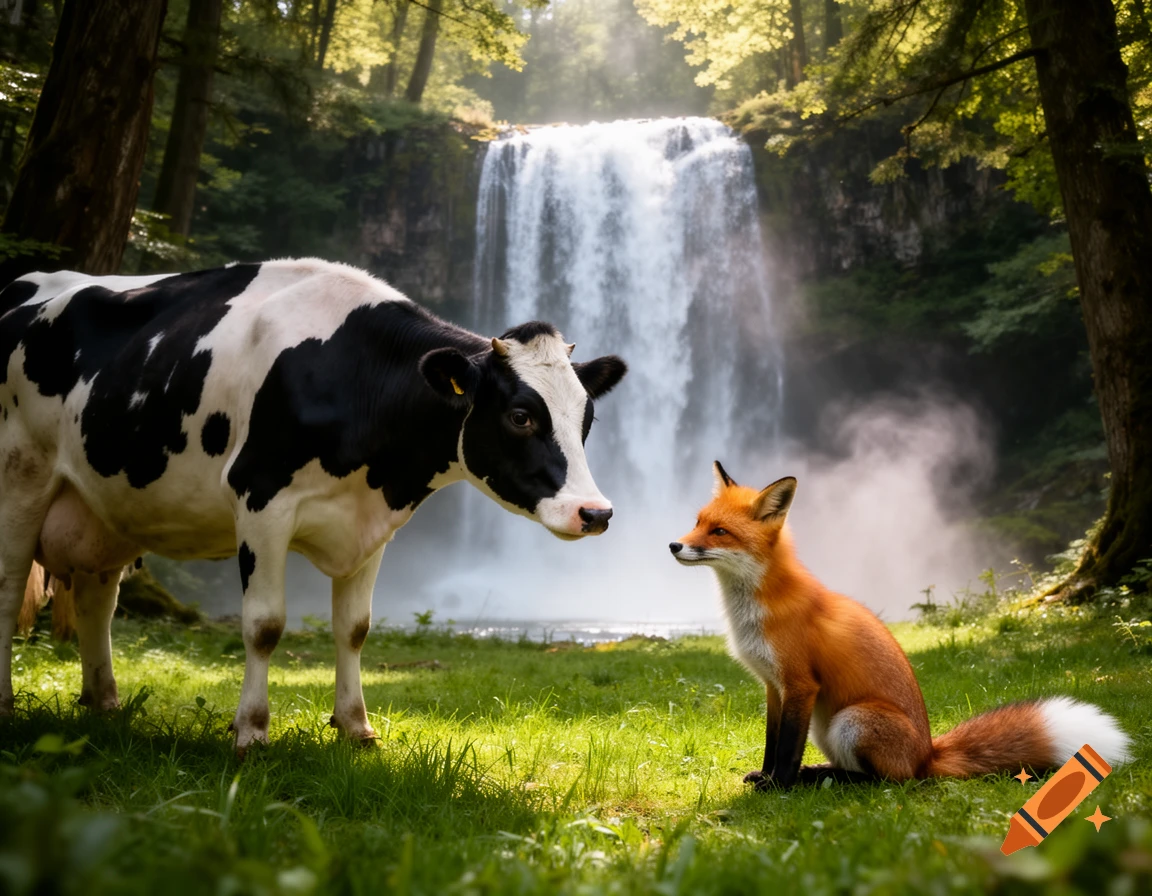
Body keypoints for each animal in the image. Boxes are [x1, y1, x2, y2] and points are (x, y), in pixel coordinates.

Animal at [0, 259, 627, 753]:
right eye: (520, 416)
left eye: (588, 417)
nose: (596, 513)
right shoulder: (260, 499)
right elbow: (264, 625)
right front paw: (251, 731)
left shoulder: (373, 524)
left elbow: (355, 628)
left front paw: (356, 726)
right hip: (19, 477)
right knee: (8, 592)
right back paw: (8, 707)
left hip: (103, 506)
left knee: (97, 601)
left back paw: (104, 702)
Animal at [670, 462, 1133, 790]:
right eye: (697, 522)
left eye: (720, 531)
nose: (674, 544)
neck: (755, 609)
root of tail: (928, 754)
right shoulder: (773, 685)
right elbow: (771, 742)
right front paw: (765, 777)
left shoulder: (800, 684)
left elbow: (786, 749)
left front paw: (777, 786)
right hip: (827, 724)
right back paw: (820, 773)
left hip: (851, 719)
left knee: (888, 781)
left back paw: (820, 780)